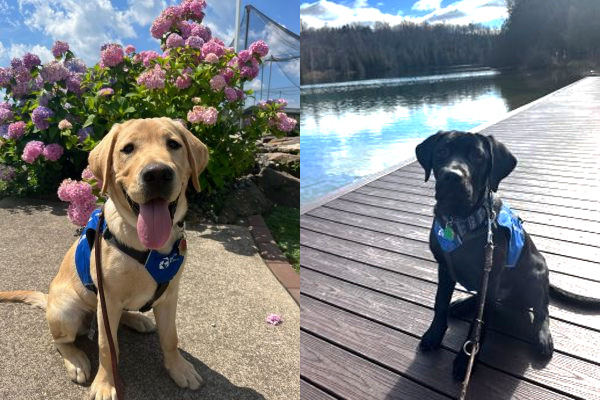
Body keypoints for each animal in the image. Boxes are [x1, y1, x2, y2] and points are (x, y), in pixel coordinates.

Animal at [0, 118, 210, 400]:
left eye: (173, 144)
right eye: (128, 148)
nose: (157, 174)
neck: (147, 247)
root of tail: (49, 299)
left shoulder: (169, 295)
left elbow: (170, 337)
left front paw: (178, 368)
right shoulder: (107, 299)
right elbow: (106, 347)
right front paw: (105, 384)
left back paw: (138, 320)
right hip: (68, 311)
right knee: (61, 341)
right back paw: (76, 360)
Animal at [418, 130, 552, 382]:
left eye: (477, 156)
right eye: (441, 151)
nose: (452, 176)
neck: (458, 220)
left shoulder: (490, 275)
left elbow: (477, 328)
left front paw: (465, 361)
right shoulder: (444, 268)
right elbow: (440, 304)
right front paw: (433, 335)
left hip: (536, 273)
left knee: (542, 309)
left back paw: (543, 337)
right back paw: (461, 304)